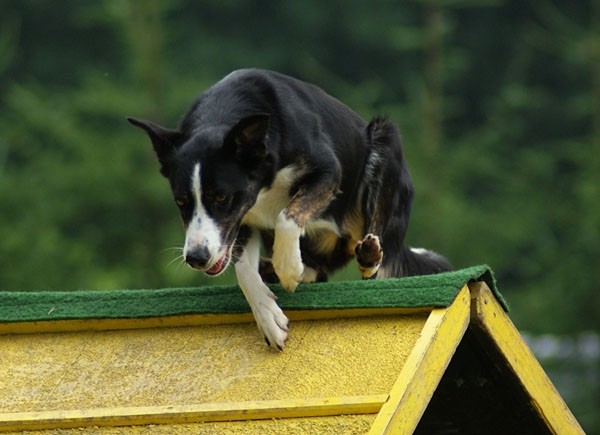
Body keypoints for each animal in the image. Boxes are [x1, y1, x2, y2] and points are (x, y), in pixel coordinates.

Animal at [130, 70, 450, 352]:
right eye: (181, 202)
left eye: (221, 196)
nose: (196, 258)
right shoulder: (242, 221)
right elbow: (243, 269)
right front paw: (268, 318)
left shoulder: (328, 171)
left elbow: (287, 216)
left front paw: (288, 268)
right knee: (318, 271)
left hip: (385, 140)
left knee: (377, 262)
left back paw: (367, 255)